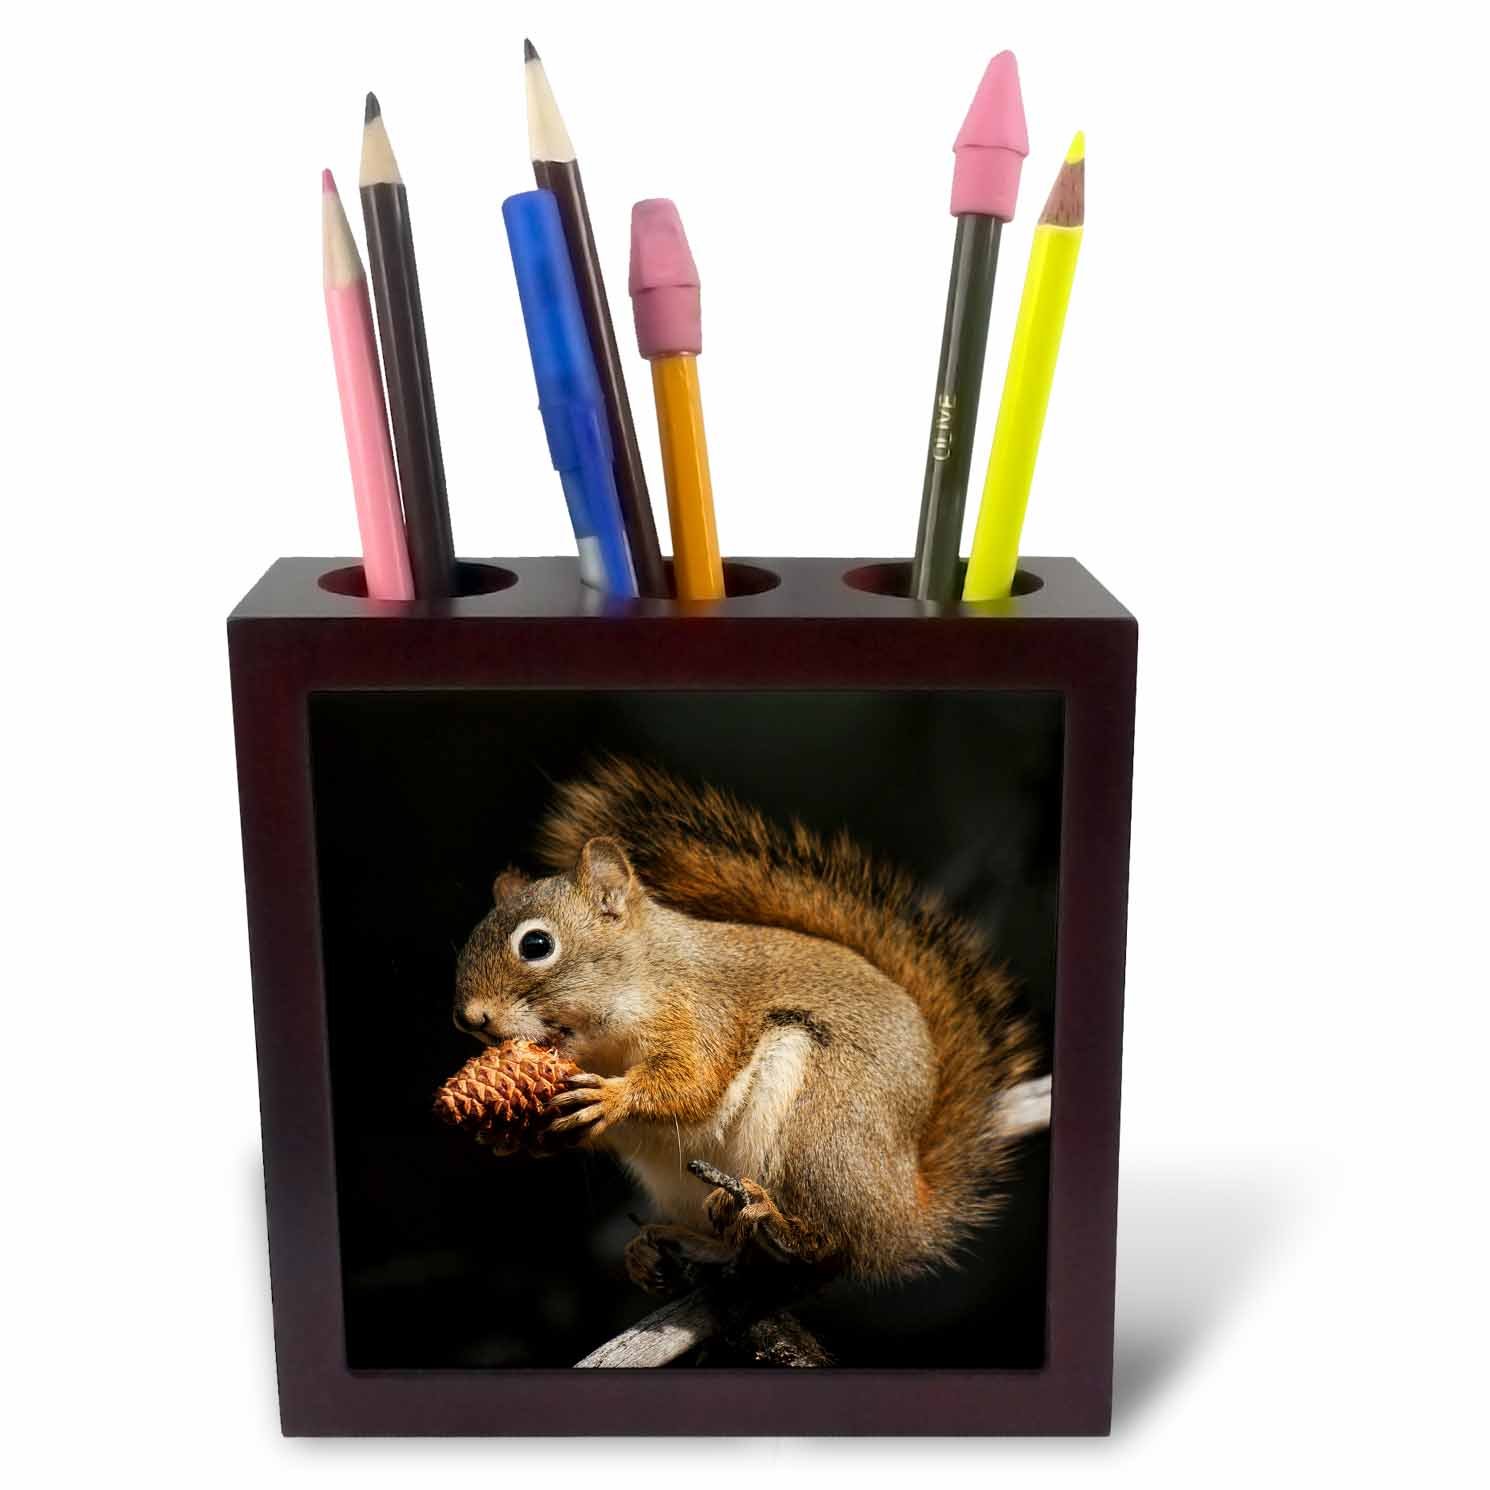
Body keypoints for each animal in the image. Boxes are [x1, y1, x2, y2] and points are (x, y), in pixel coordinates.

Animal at [451, 757, 1041, 1295]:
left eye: (536, 944)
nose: (470, 1018)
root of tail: (903, 1216)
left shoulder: (701, 1011)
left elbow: (693, 1081)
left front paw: (614, 1097)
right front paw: (513, 1141)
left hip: (821, 1127)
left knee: (833, 1243)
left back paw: (774, 1219)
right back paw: (673, 1244)